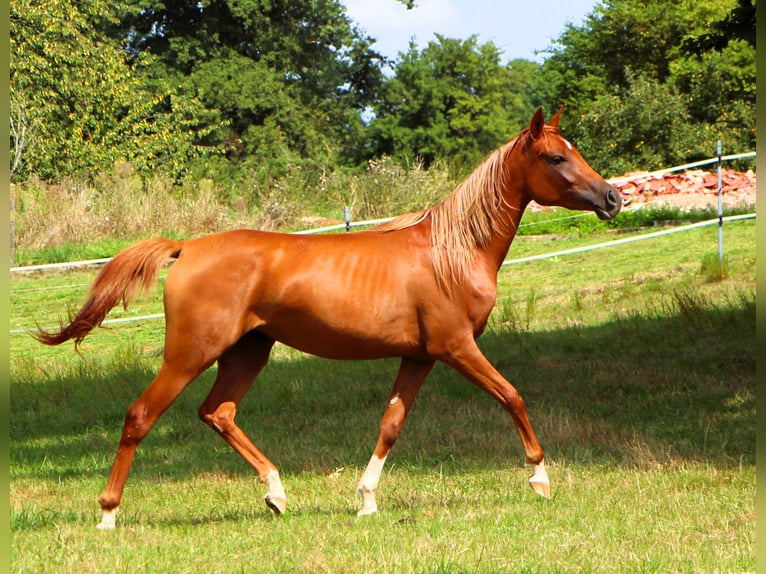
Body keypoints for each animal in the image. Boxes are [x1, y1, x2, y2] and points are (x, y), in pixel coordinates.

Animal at [36, 107, 622, 529]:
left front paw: (366, 500)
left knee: (217, 412)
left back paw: (276, 494)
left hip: (248, 352)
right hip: (189, 354)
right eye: (555, 158)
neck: (451, 251)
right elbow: (512, 396)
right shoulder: (458, 349)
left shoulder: (419, 357)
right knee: (140, 416)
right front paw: (540, 478)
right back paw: (108, 514)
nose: (613, 197)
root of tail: (188, 248)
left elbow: (391, 424)